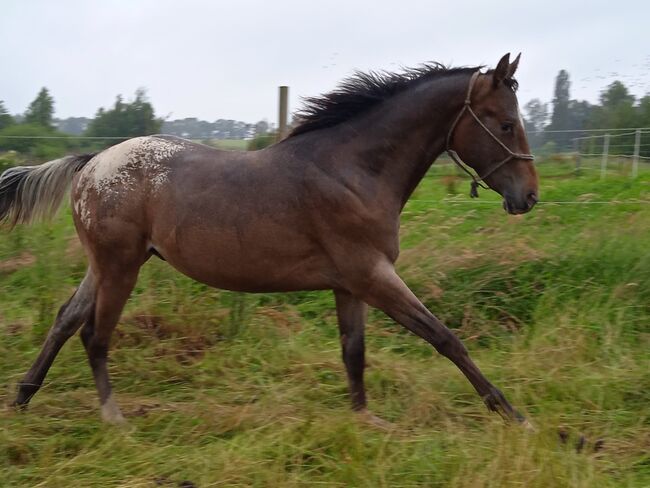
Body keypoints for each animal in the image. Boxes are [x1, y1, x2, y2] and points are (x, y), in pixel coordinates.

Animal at [0, 53, 536, 426]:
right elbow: (444, 337)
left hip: (106, 264)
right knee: (94, 333)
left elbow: (354, 352)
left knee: (65, 319)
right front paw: (511, 413)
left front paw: (365, 420)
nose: (528, 196)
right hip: (120, 267)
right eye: (506, 124)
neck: (352, 171)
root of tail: (91, 162)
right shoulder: (373, 276)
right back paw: (113, 417)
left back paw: (23, 396)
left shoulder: (350, 285)